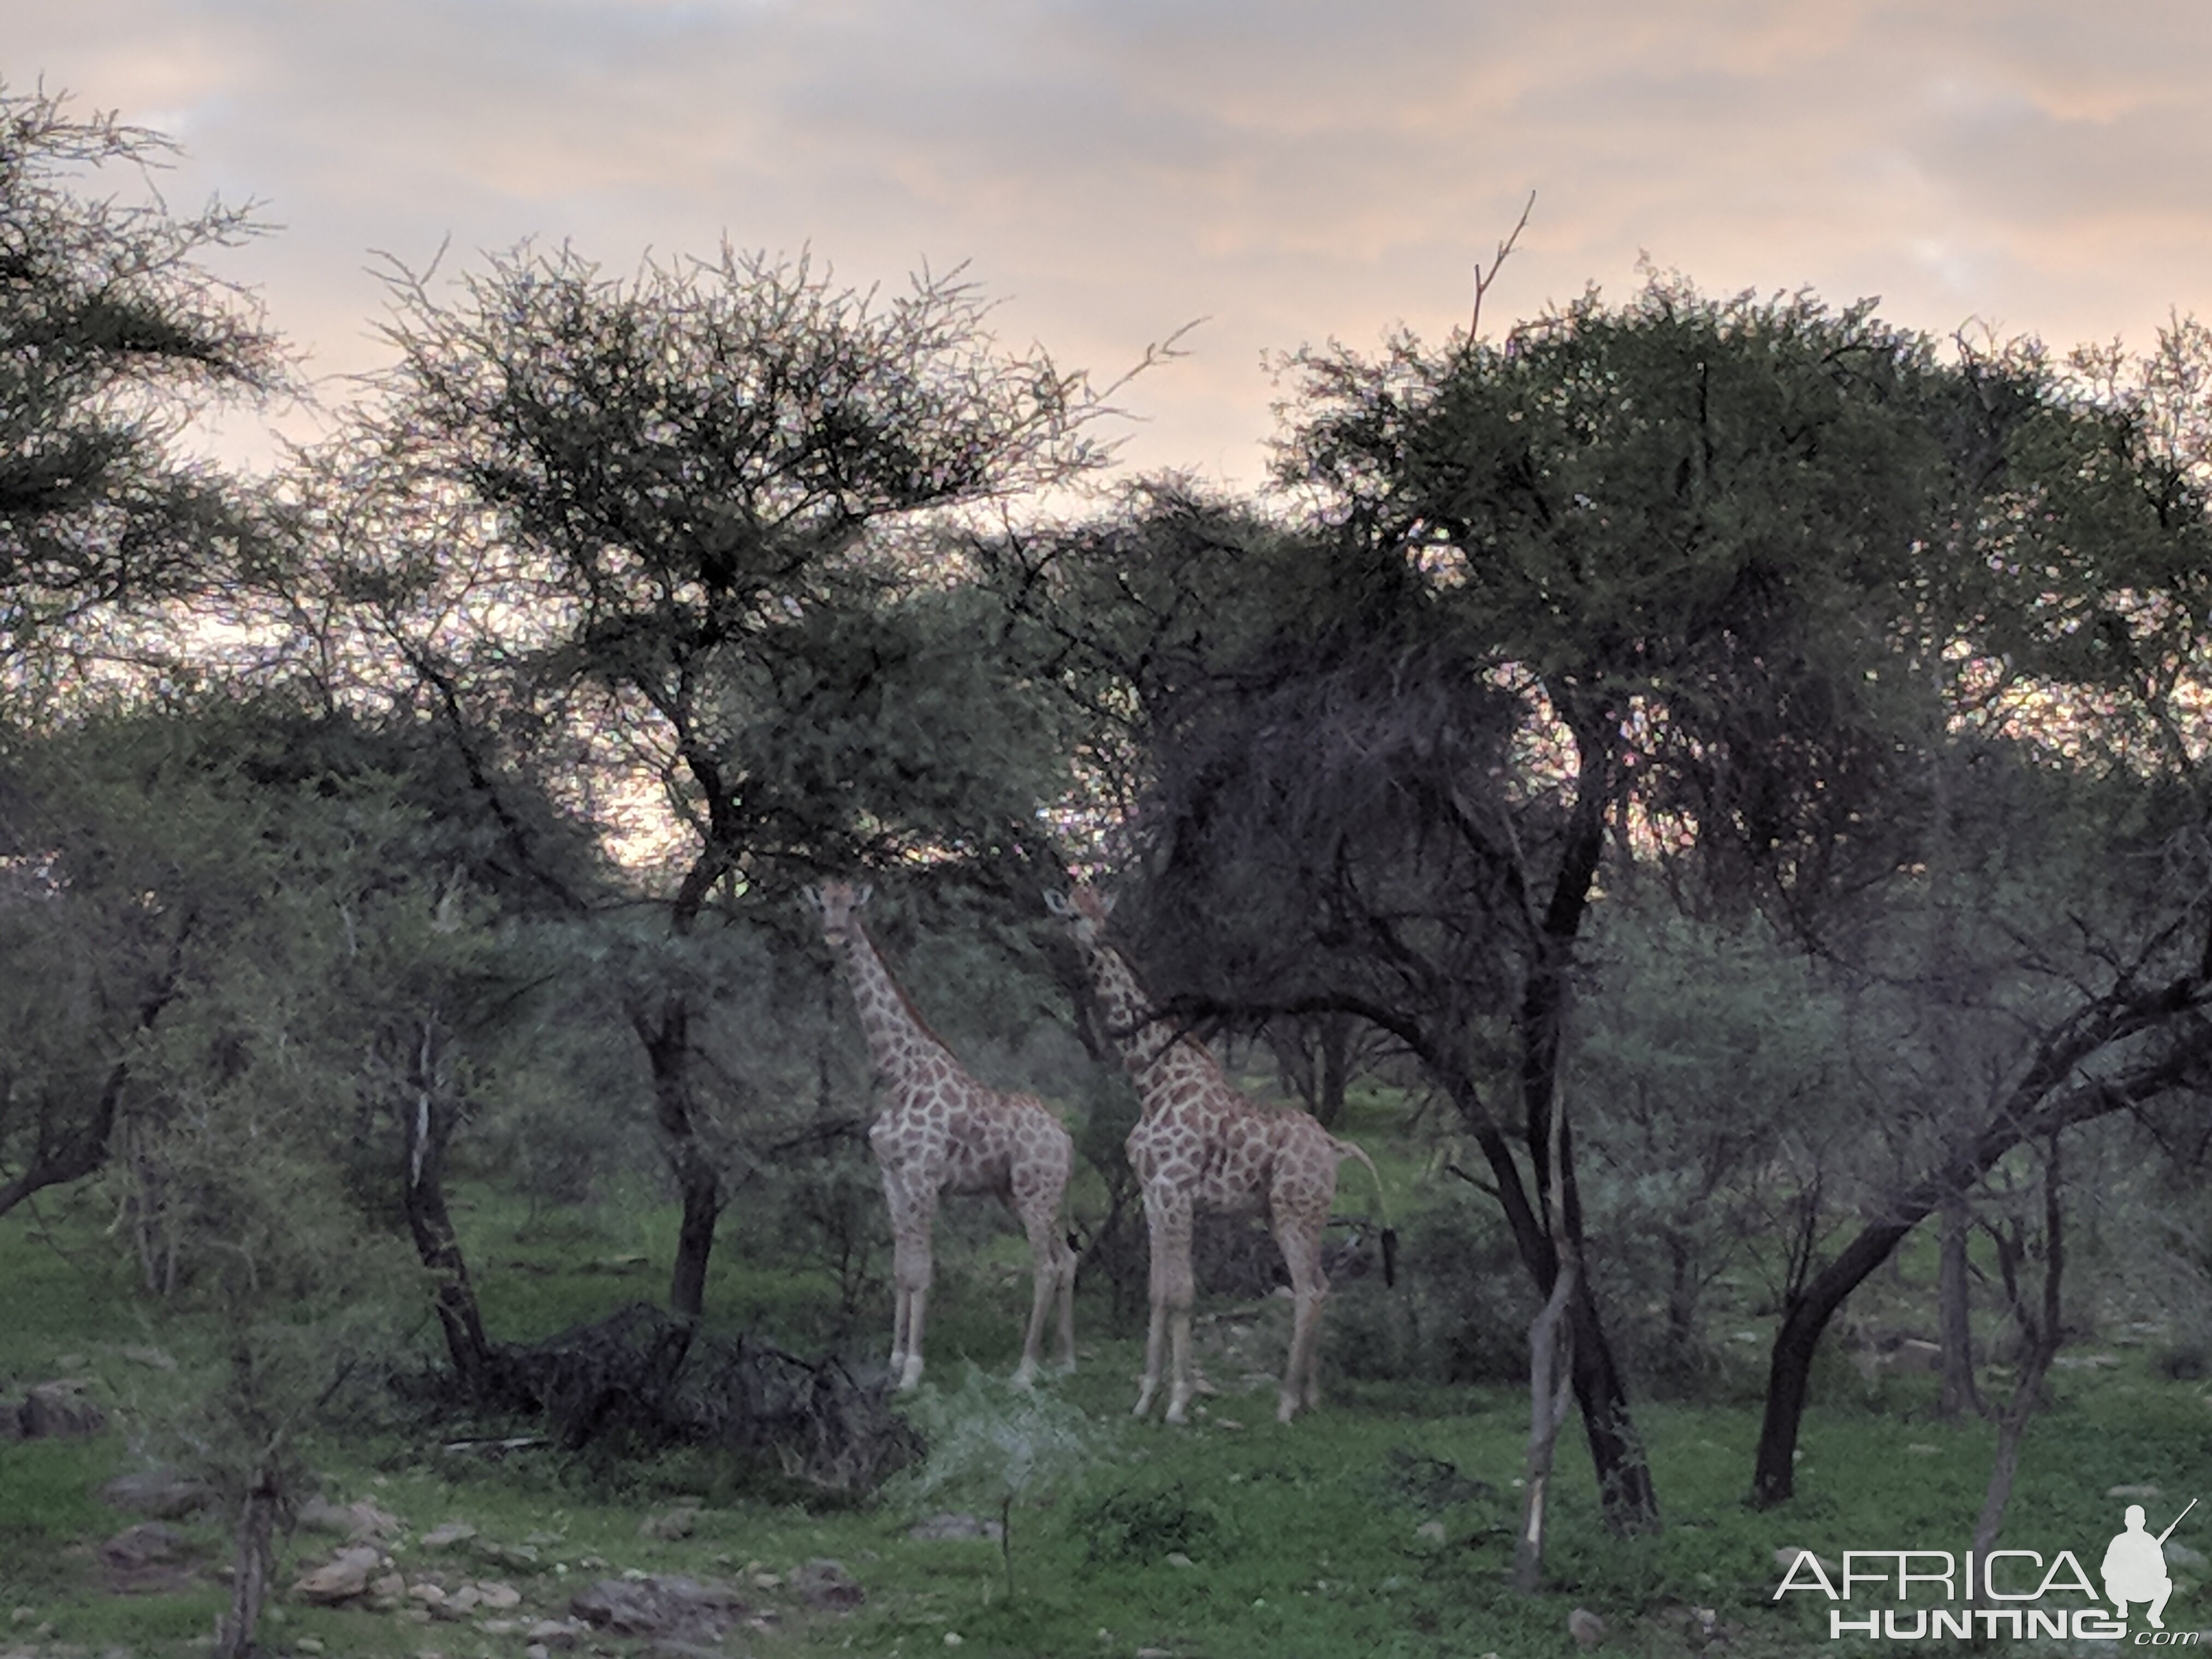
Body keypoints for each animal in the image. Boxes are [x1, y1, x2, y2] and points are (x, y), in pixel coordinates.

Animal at [818, 876, 1084, 1398]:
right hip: (1023, 1194)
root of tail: (1065, 1140)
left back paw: (1025, 1371)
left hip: (1035, 1192)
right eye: (823, 906)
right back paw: (1064, 1362)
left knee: (1046, 1266)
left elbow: (922, 1271)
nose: (835, 936)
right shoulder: (892, 1178)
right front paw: (893, 1362)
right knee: (1066, 1260)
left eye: (853, 906)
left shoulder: (924, 1177)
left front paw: (913, 1371)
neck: (900, 1075)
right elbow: (901, 1268)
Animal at [1048, 885, 1380, 1433]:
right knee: (1320, 1285)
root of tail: (1334, 1147)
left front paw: (1179, 1403)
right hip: (1290, 1215)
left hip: (1296, 1212)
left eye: (1103, 917)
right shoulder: (1154, 1193)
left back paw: (1286, 1404)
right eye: (1073, 914)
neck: (1153, 1082)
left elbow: (1183, 1292)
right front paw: (1146, 1397)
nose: (1094, 944)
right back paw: (1310, 1398)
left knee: (1310, 1289)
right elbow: (1157, 1290)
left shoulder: (1177, 1191)